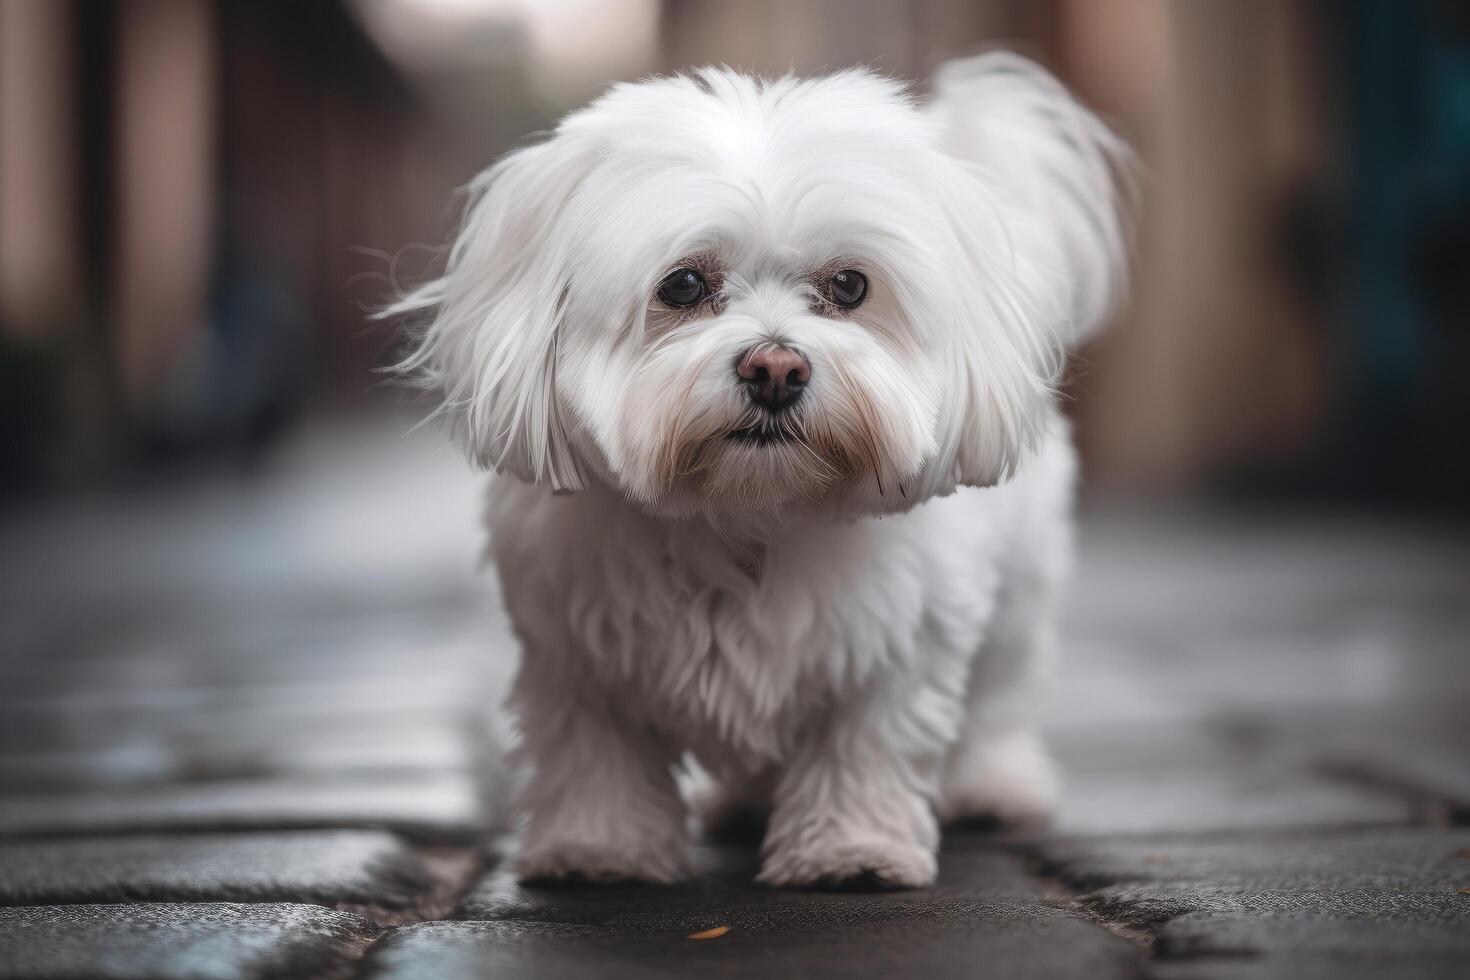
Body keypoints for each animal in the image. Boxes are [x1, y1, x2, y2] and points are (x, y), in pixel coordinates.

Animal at [388, 53, 1123, 893]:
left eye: (849, 286)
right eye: (682, 285)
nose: (776, 368)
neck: (745, 511)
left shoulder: (895, 651)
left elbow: (865, 744)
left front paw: (851, 851)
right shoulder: (573, 655)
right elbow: (595, 756)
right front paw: (597, 850)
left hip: (1020, 593)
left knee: (1002, 690)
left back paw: (992, 787)